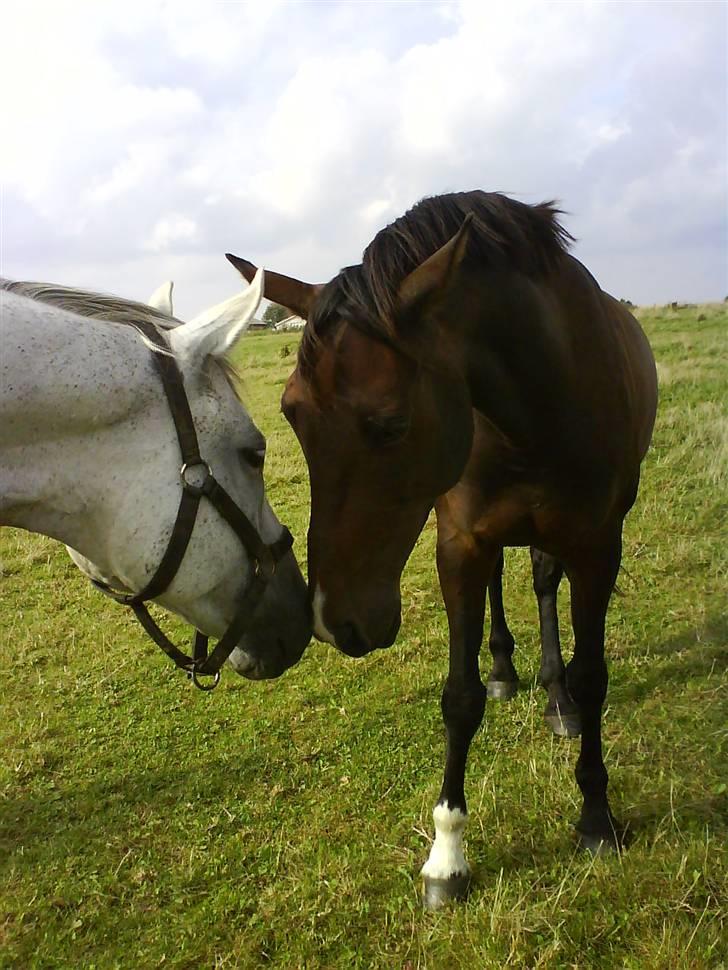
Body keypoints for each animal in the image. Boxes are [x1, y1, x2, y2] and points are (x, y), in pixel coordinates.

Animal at [229, 191, 660, 908]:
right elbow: (460, 698)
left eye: (390, 423)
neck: (542, 398)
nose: (334, 622)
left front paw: (596, 816)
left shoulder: (599, 546)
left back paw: (555, 700)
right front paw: (447, 856)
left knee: (544, 586)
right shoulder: (459, 544)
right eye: (290, 414)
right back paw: (507, 669)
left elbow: (592, 675)